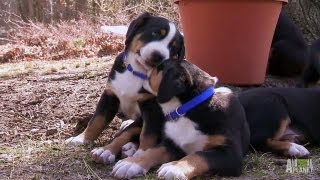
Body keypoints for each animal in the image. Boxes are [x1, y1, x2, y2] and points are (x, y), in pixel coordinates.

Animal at [65, 11, 185, 165]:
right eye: (155, 33)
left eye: (173, 48)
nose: (158, 56)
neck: (136, 72)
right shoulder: (110, 95)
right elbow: (96, 121)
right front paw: (81, 139)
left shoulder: (152, 106)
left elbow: (148, 133)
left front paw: (141, 154)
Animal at [112, 59, 250, 179]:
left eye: (159, 67)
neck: (186, 110)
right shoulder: (172, 143)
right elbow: (153, 151)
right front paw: (131, 163)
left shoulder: (231, 154)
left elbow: (199, 155)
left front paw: (175, 167)